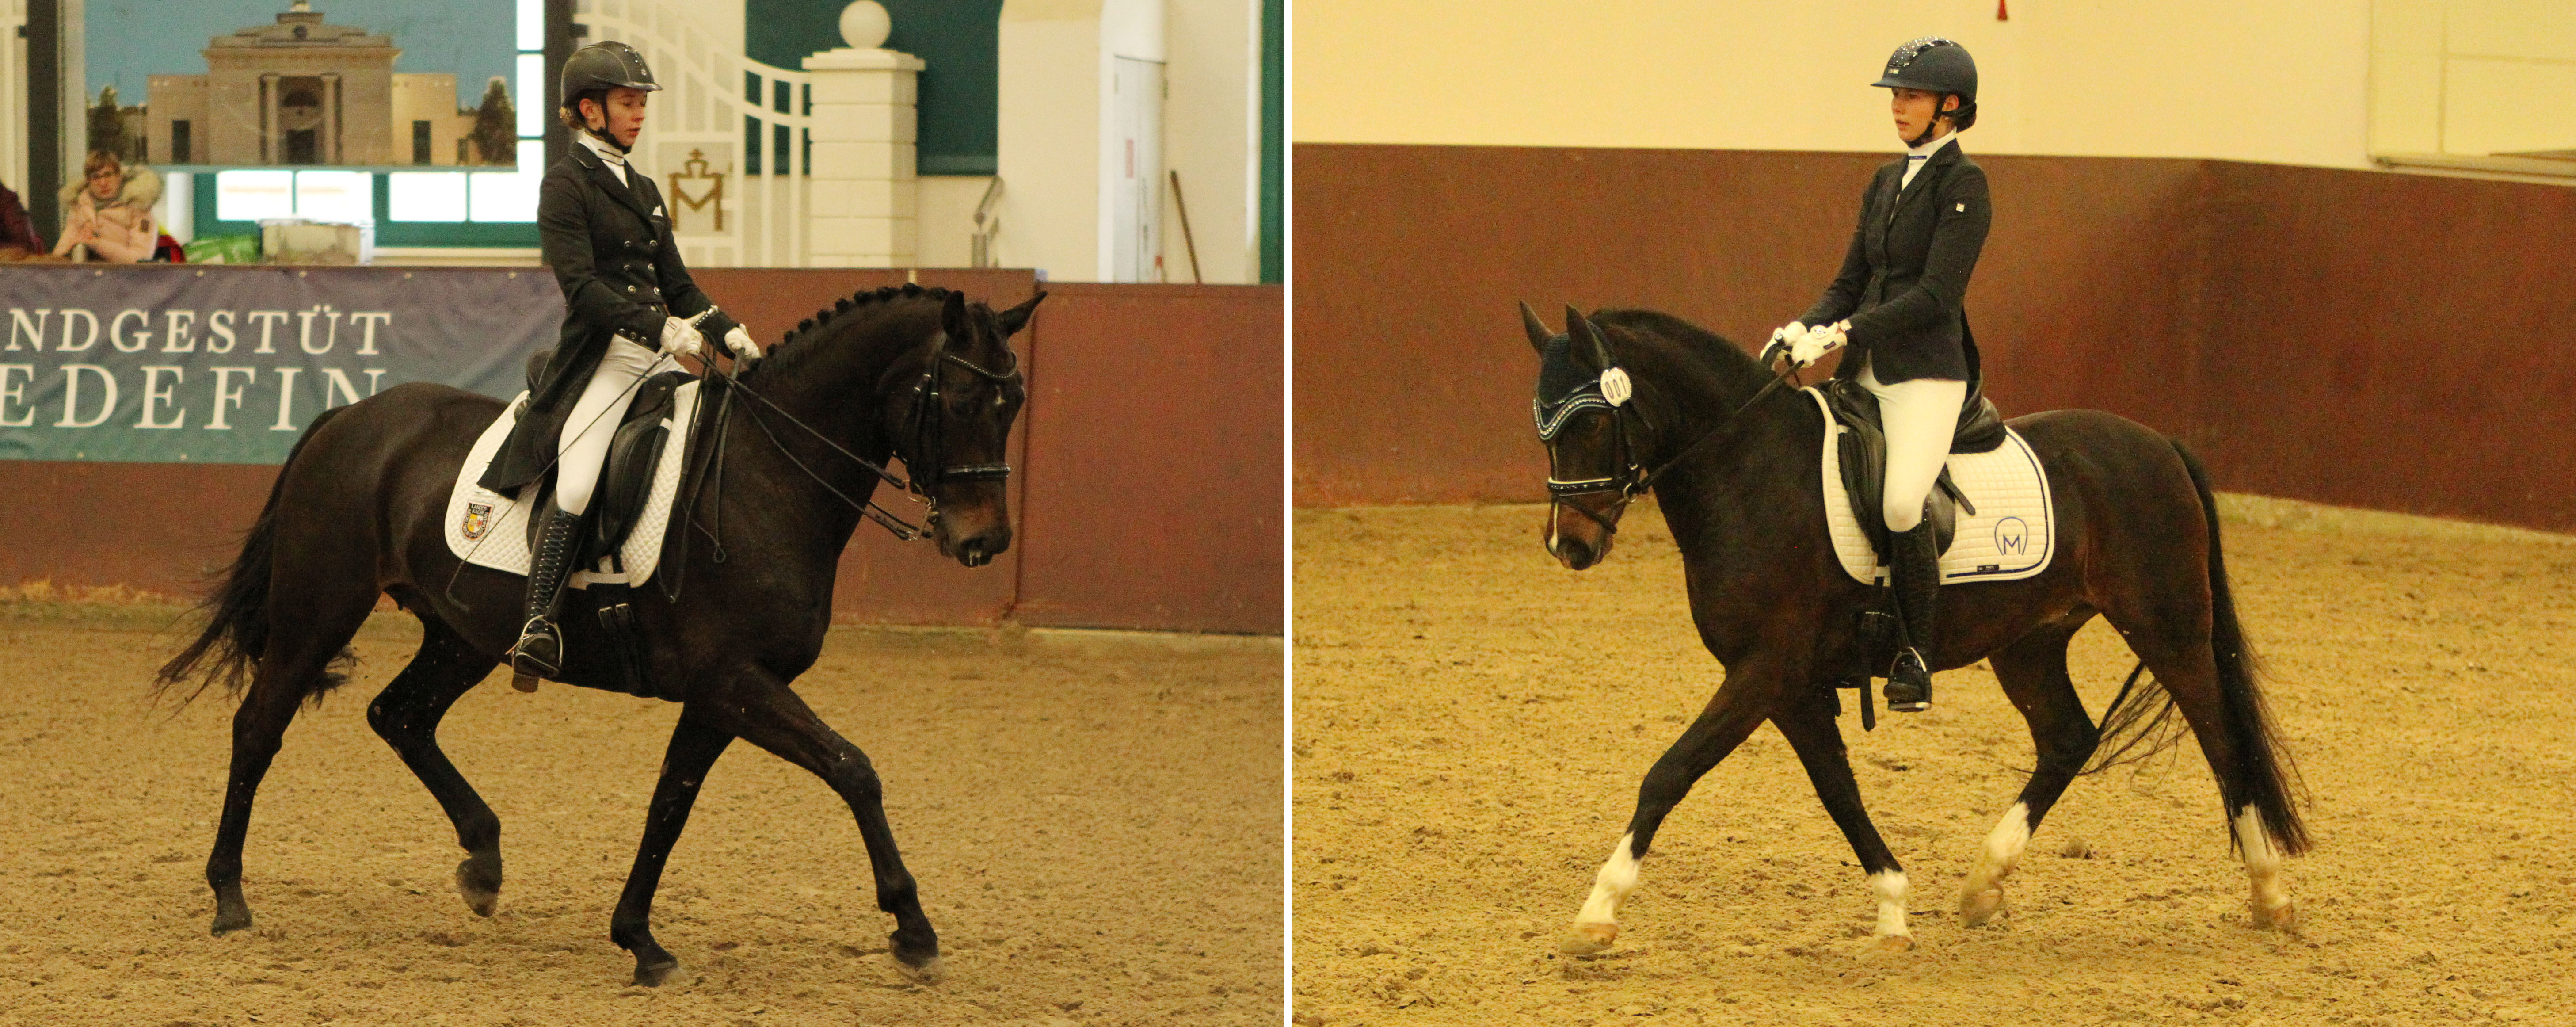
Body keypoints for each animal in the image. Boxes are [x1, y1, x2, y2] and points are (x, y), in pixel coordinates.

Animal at [158, 283, 1035, 988]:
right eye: (961, 400)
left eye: (1015, 405)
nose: (984, 541)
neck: (767, 478)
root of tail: (352, 416)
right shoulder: (734, 680)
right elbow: (854, 770)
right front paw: (913, 930)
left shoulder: (719, 694)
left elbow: (669, 804)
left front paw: (640, 939)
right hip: (320, 607)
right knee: (259, 726)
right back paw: (229, 895)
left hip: (462, 635)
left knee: (399, 716)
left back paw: (483, 861)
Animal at [1514, 304, 2308, 957]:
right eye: (1544, 428)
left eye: (1592, 422)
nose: (1570, 545)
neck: (1750, 472)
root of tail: (2159, 443)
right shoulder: (1791, 685)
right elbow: (1838, 791)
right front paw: (1894, 908)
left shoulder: (1764, 669)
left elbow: (1669, 772)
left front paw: (1596, 912)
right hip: (2028, 642)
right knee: (2068, 738)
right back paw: (1983, 884)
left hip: (2168, 628)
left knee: (2220, 738)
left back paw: (2269, 894)